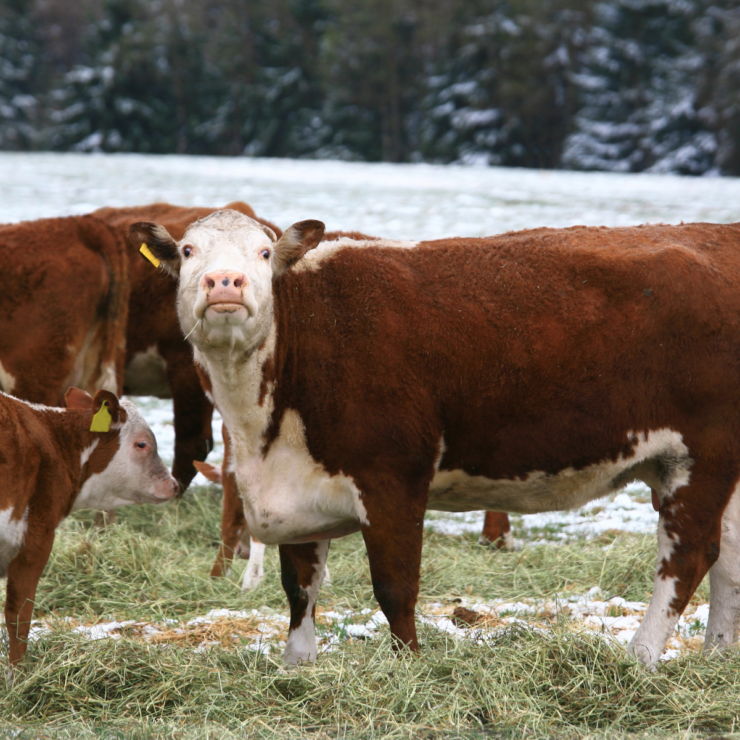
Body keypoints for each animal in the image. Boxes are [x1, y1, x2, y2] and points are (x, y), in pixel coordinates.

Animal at [130, 211, 740, 668]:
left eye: (262, 253)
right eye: (188, 251)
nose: (224, 284)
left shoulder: (393, 476)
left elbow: (395, 586)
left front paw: (409, 667)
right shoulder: (298, 484)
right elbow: (299, 585)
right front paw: (297, 667)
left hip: (700, 455)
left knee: (689, 555)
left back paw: (640, 658)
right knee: (729, 557)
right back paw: (717, 656)